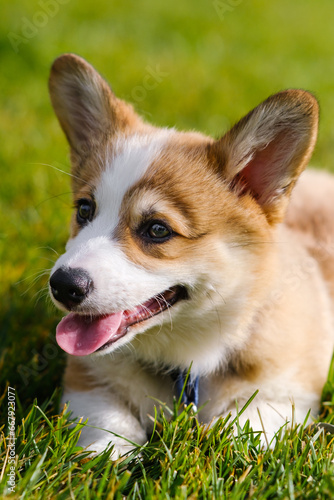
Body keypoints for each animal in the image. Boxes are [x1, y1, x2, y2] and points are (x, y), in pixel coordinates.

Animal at [48, 52, 334, 456]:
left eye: (157, 230)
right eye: (84, 210)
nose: (62, 285)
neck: (187, 359)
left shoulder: (289, 396)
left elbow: (241, 425)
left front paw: (217, 439)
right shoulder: (87, 381)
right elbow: (111, 423)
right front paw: (105, 455)